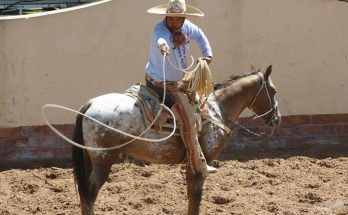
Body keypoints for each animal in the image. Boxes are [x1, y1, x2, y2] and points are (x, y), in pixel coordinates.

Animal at [72, 65, 282, 215]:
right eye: (273, 90)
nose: (277, 119)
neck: (215, 110)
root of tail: (89, 104)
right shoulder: (202, 161)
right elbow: (196, 196)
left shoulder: (191, 164)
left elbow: (191, 196)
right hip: (103, 160)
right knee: (89, 195)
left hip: (90, 160)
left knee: (84, 196)